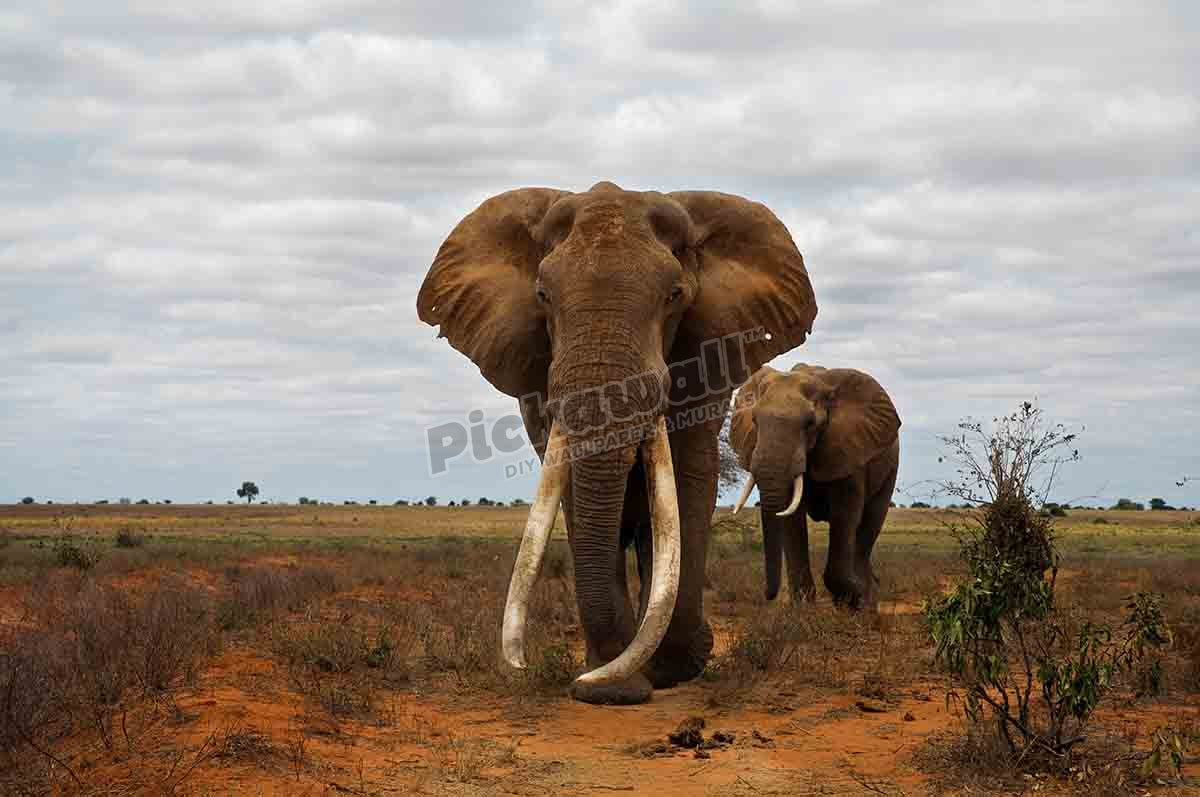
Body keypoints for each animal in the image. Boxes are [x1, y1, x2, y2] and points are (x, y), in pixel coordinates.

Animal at [417, 182, 817, 704]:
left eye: (674, 296)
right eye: (542, 296)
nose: (524, 666)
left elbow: (685, 484)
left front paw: (671, 668)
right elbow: (573, 492)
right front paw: (614, 685)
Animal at [728, 364, 900, 609]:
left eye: (810, 424)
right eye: (755, 421)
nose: (767, 595)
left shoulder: (848, 450)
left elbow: (844, 515)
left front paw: (855, 599)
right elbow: (791, 519)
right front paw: (803, 608)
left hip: (889, 467)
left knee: (870, 523)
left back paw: (867, 600)